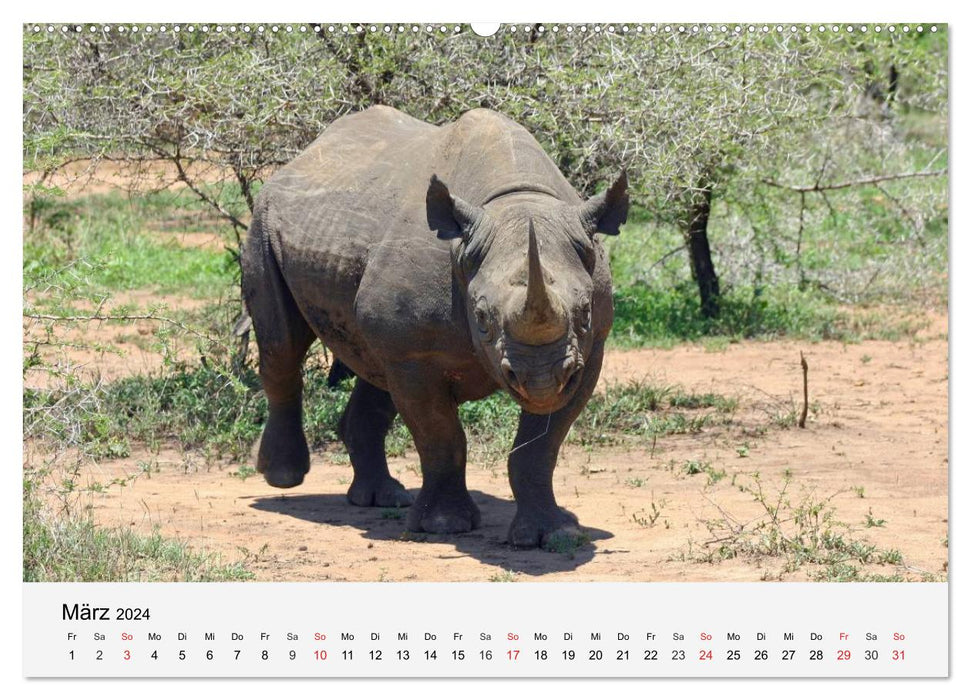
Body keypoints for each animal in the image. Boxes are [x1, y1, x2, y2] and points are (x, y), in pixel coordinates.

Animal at [243, 106, 632, 548]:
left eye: (584, 312)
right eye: (481, 318)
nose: (542, 380)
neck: (516, 200)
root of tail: (302, 157)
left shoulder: (590, 350)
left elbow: (539, 448)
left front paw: (555, 533)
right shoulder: (415, 354)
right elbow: (440, 436)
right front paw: (443, 526)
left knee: (373, 368)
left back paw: (381, 499)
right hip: (263, 219)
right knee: (282, 346)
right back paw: (283, 478)